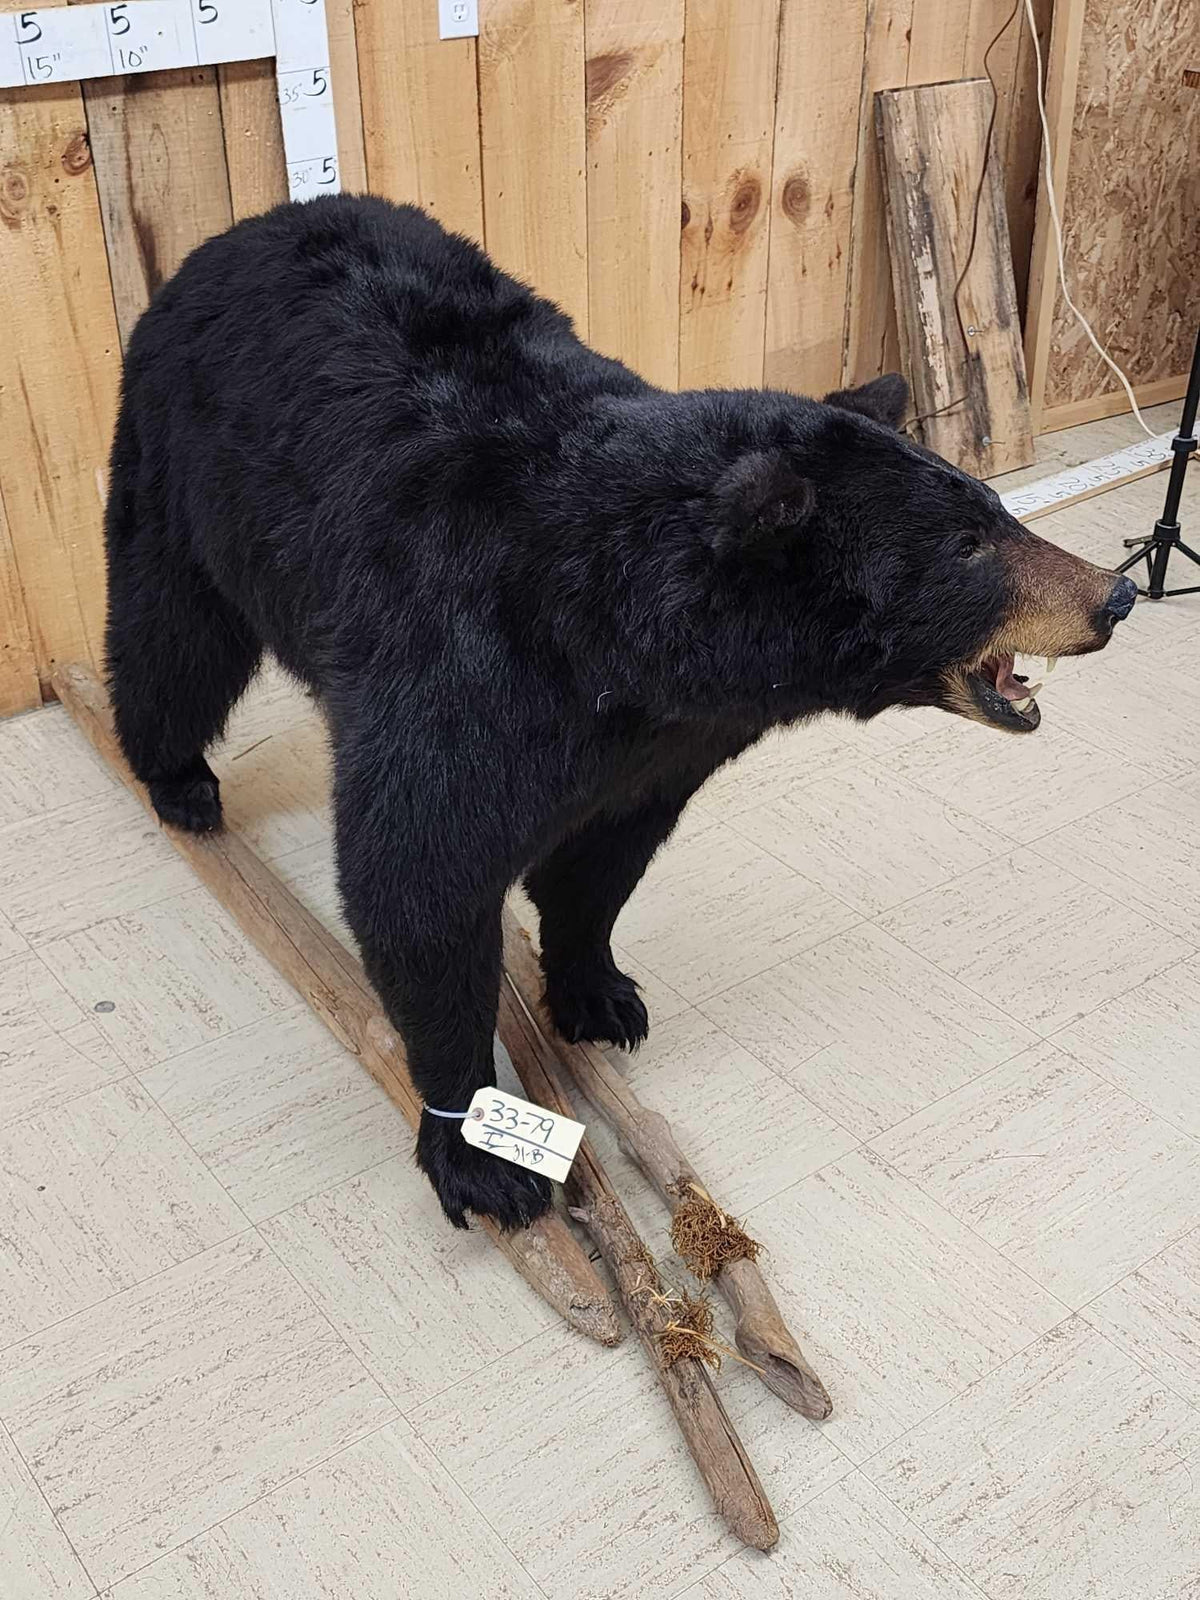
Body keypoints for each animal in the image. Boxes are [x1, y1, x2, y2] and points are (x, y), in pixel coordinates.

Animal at [104, 194, 1136, 1230]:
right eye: (968, 545)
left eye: (992, 504)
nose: (1114, 597)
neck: (620, 640)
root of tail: (260, 221)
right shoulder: (464, 665)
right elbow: (419, 882)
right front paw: (478, 1151)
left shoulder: (660, 745)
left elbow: (601, 862)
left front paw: (597, 995)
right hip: (184, 460)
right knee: (171, 624)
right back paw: (176, 778)